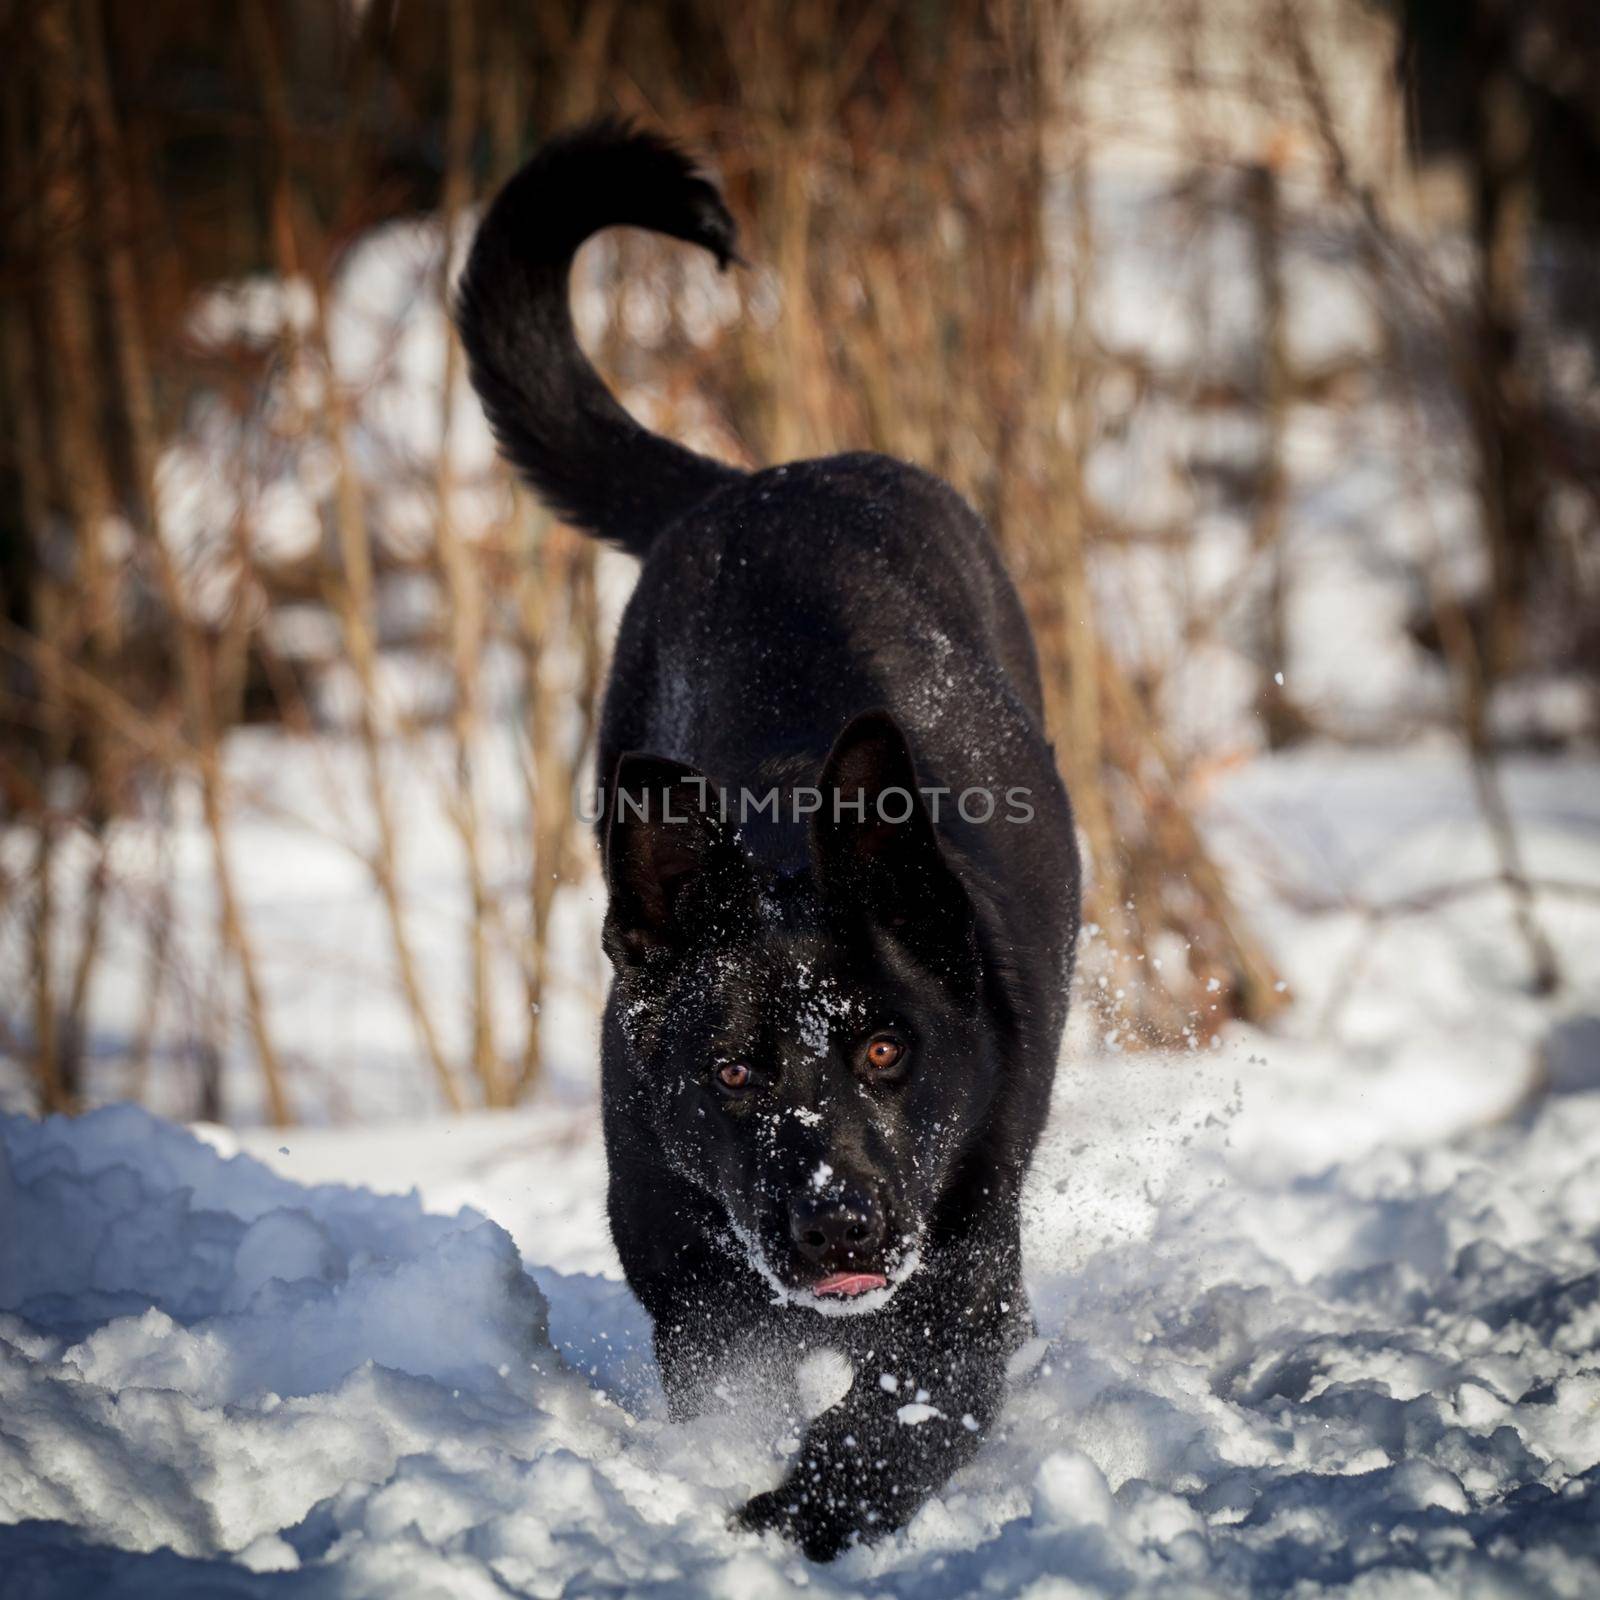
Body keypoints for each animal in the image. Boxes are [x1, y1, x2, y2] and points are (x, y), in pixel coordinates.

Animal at [457, 118, 1081, 1555]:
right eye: (735, 1074)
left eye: (888, 1049)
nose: (842, 1224)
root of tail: (761, 480)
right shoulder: (694, 1288)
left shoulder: (965, 1269)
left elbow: (891, 1420)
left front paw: (797, 1513)